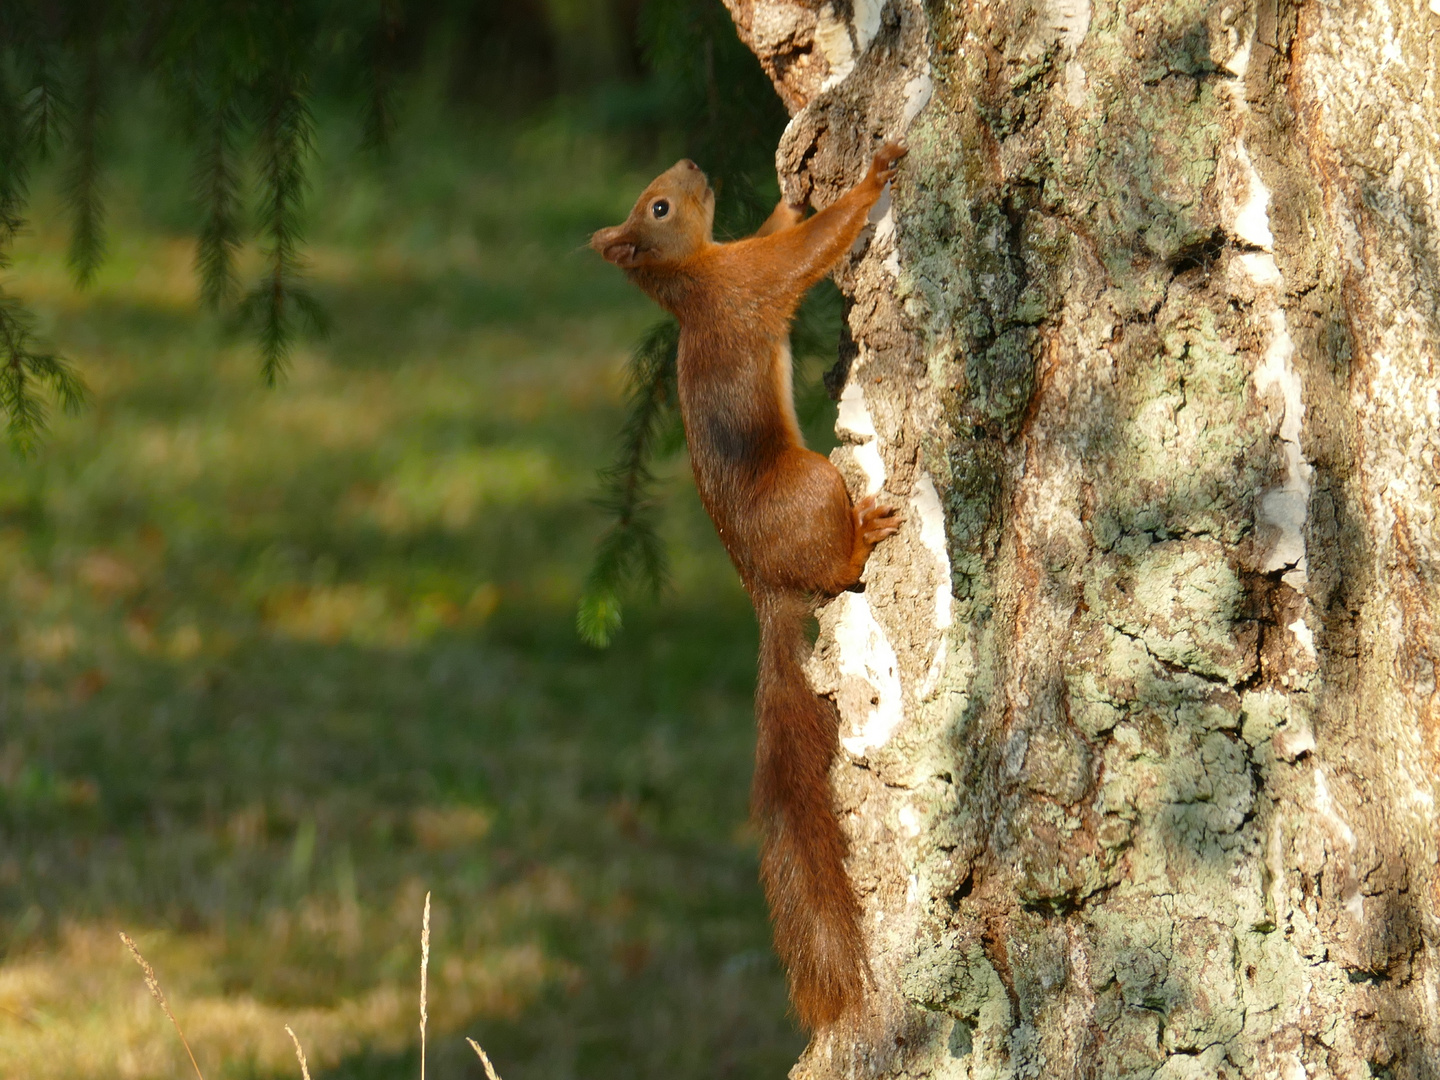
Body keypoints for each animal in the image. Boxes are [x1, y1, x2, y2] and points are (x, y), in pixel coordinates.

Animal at [590, 144, 904, 1031]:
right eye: (659, 206)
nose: (694, 160)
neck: (695, 276)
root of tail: (765, 589)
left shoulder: (742, 260)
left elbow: (778, 229)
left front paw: (792, 184)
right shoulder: (751, 282)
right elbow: (806, 252)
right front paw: (872, 177)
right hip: (816, 485)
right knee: (839, 566)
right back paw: (863, 535)